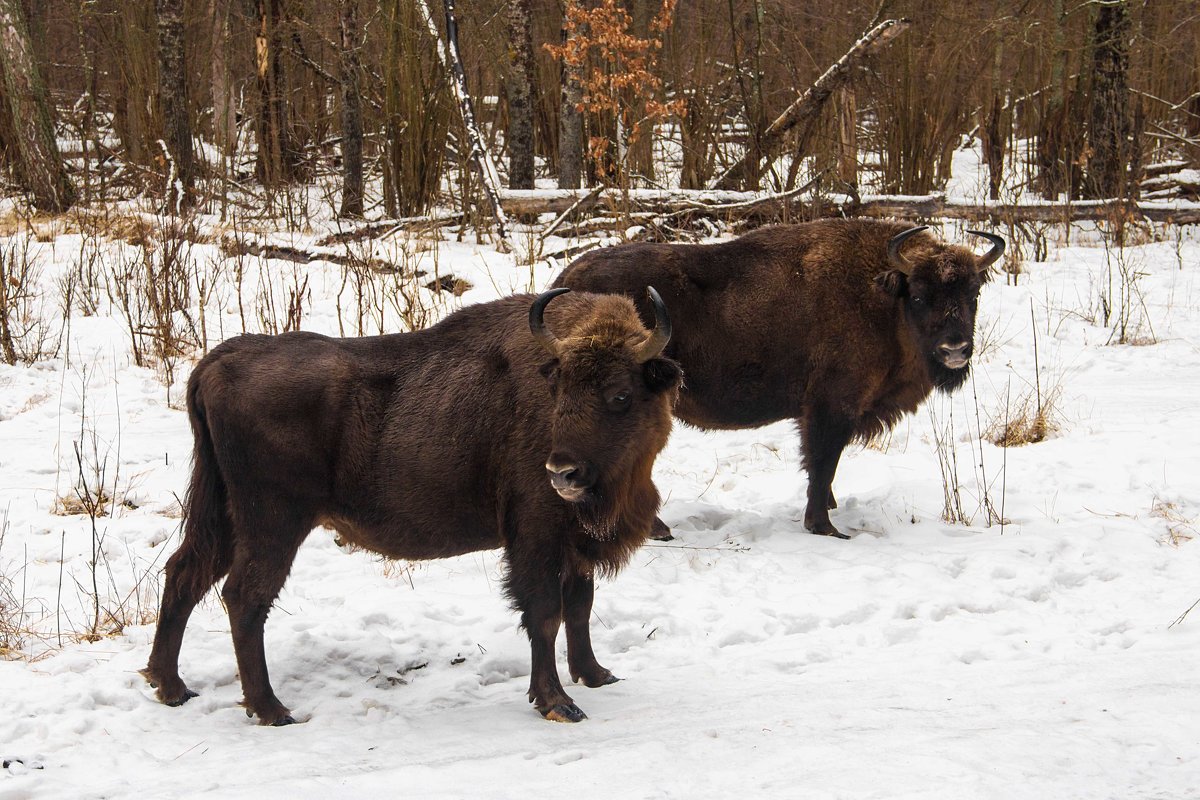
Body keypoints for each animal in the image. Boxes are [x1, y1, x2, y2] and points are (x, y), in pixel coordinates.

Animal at [140, 287, 681, 724]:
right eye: (560, 390)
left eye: (620, 394)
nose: (562, 472)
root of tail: (218, 361)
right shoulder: (536, 537)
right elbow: (546, 614)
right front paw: (558, 703)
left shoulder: (574, 543)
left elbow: (580, 606)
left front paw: (596, 674)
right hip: (272, 525)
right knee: (244, 597)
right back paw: (271, 710)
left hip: (222, 515)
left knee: (185, 573)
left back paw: (171, 687)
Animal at [552, 219, 1003, 537]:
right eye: (920, 295)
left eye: (974, 294)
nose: (955, 349)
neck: (882, 297)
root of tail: (565, 282)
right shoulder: (831, 408)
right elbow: (822, 463)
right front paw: (825, 526)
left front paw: (830, 510)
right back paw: (658, 529)